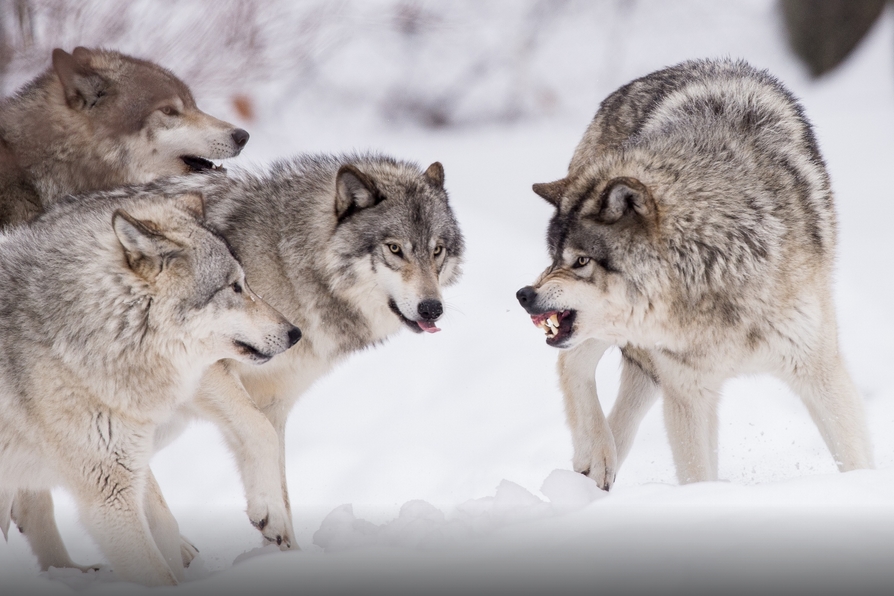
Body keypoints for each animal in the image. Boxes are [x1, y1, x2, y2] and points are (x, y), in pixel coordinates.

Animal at [0, 189, 299, 586]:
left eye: (246, 282)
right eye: (235, 286)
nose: (295, 333)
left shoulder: (128, 462)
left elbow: (167, 526)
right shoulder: (108, 496)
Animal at [14, 153, 465, 558]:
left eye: (437, 251)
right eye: (395, 249)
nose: (432, 308)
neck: (291, 263)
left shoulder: (274, 402)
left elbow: (277, 473)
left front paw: (285, 548)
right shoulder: (210, 373)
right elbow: (261, 440)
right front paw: (270, 518)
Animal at [517, 59, 873, 489]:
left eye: (581, 261)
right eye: (557, 255)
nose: (524, 295)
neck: (717, 260)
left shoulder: (819, 373)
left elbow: (855, 458)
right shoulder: (688, 391)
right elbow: (698, 476)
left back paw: (596, 468)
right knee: (572, 362)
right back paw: (598, 456)